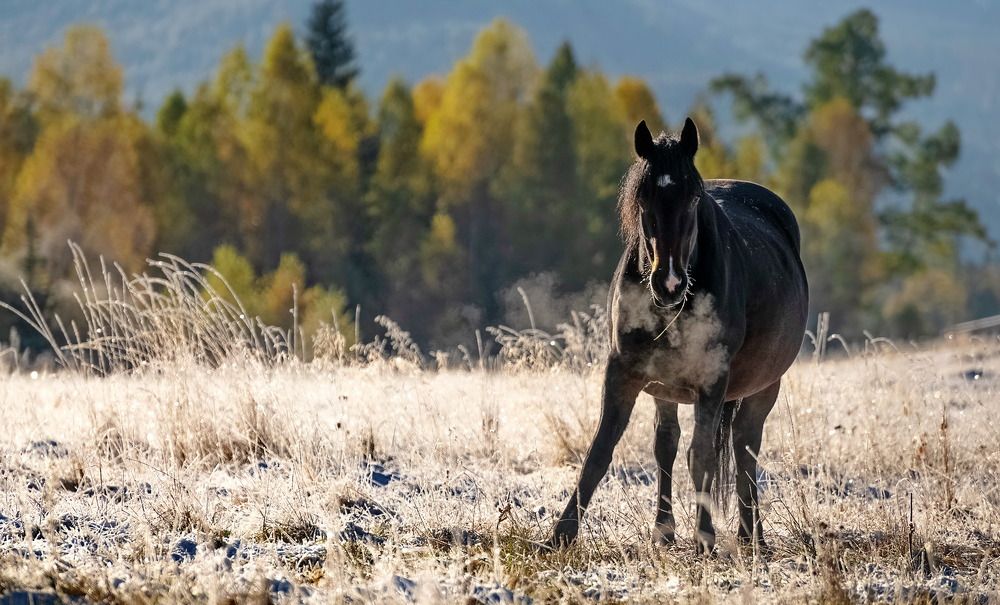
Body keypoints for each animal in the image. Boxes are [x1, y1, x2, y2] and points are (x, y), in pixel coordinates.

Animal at [548, 118, 808, 553]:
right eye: (643, 200)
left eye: (692, 199)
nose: (668, 283)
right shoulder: (623, 372)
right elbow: (600, 452)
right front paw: (560, 536)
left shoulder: (712, 379)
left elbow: (701, 457)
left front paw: (705, 537)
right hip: (665, 389)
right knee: (667, 444)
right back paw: (666, 531)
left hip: (764, 385)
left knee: (744, 448)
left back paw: (750, 536)